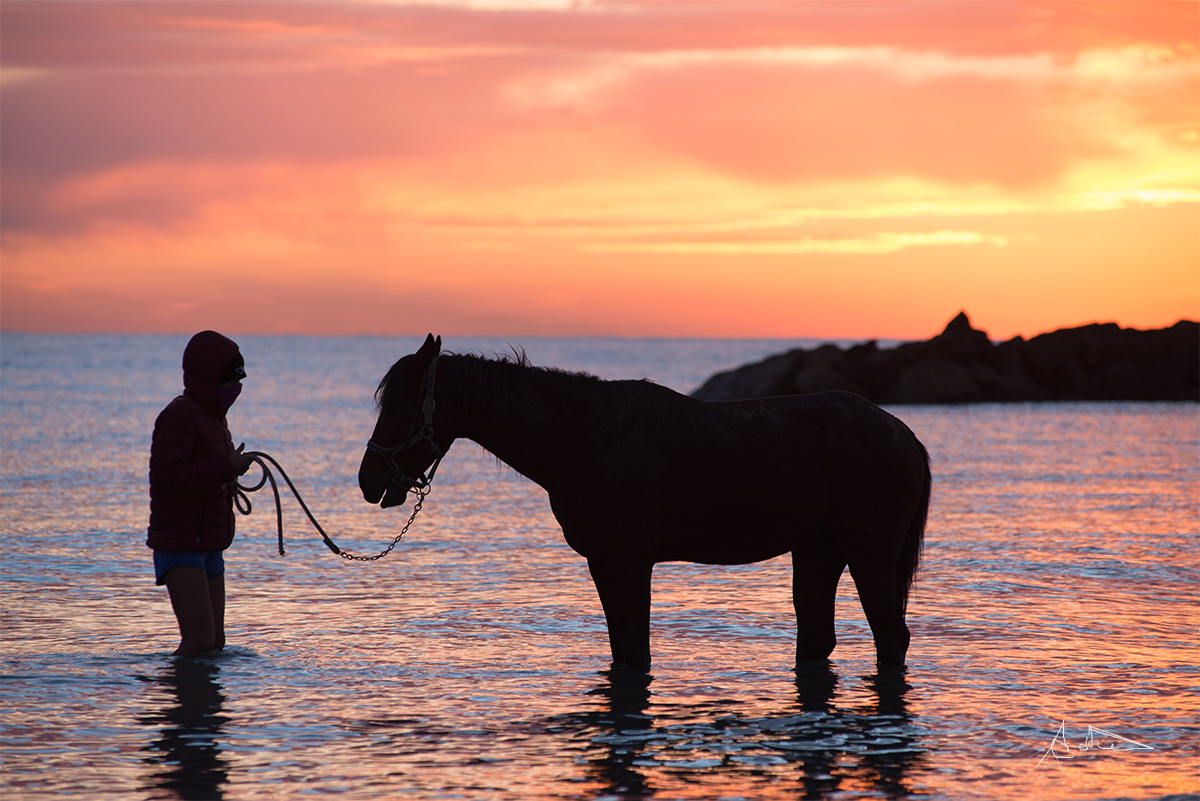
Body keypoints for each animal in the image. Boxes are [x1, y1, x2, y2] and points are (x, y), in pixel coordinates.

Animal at [359, 335, 931, 671]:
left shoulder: (630, 561)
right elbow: (622, 650)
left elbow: (636, 650)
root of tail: (903, 435)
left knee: (890, 636)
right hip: (817, 553)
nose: (368, 480)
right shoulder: (601, 564)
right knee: (818, 639)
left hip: (869, 556)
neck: (581, 438)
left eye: (402, 403)